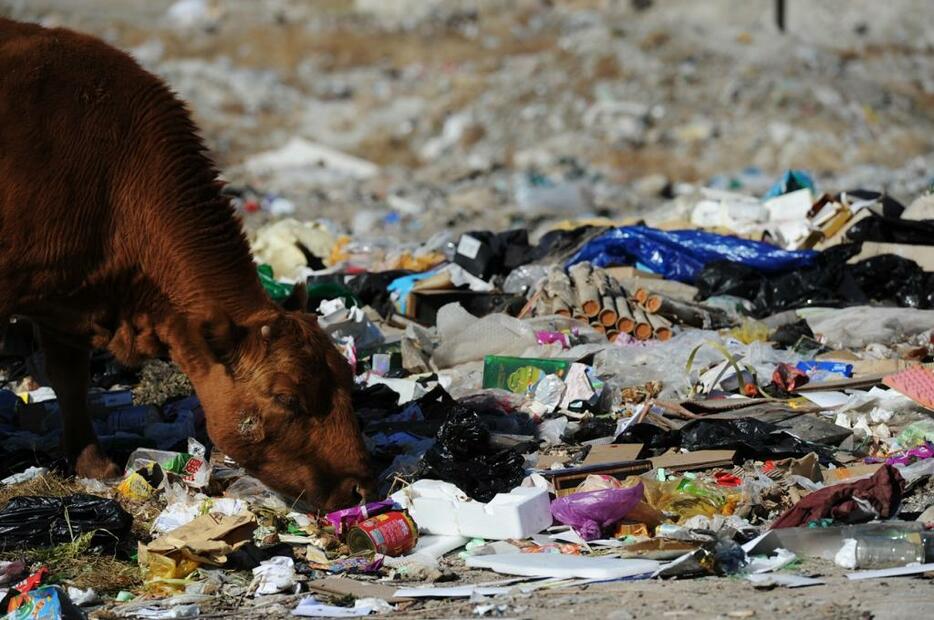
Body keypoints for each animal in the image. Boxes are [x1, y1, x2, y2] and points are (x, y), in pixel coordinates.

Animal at [0, 19, 372, 512]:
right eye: (288, 398)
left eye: (348, 379)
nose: (360, 487)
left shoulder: (66, 300)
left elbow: (69, 379)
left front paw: (94, 466)